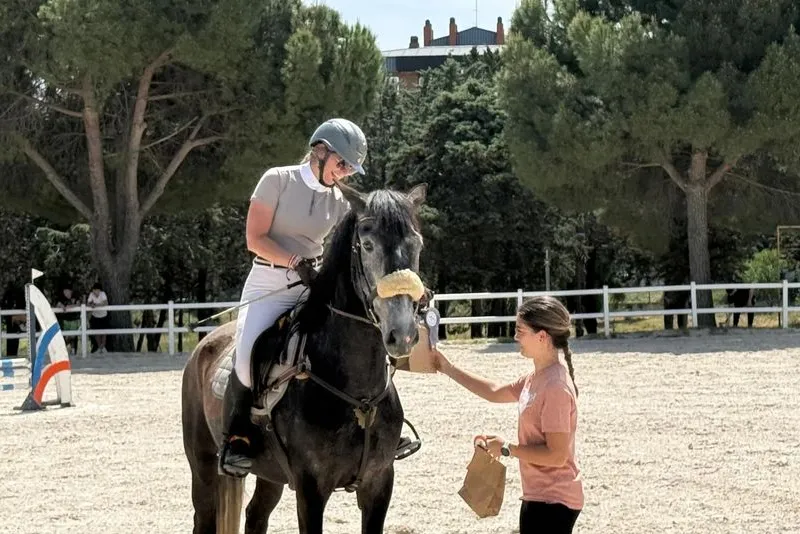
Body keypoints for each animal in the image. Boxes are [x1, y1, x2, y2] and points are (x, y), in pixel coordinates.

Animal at [181, 182, 429, 534]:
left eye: (417, 244)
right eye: (367, 245)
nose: (403, 333)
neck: (358, 398)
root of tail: (204, 345)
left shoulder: (379, 483)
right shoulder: (311, 489)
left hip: (270, 474)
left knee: (256, 515)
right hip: (202, 465)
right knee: (204, 517)